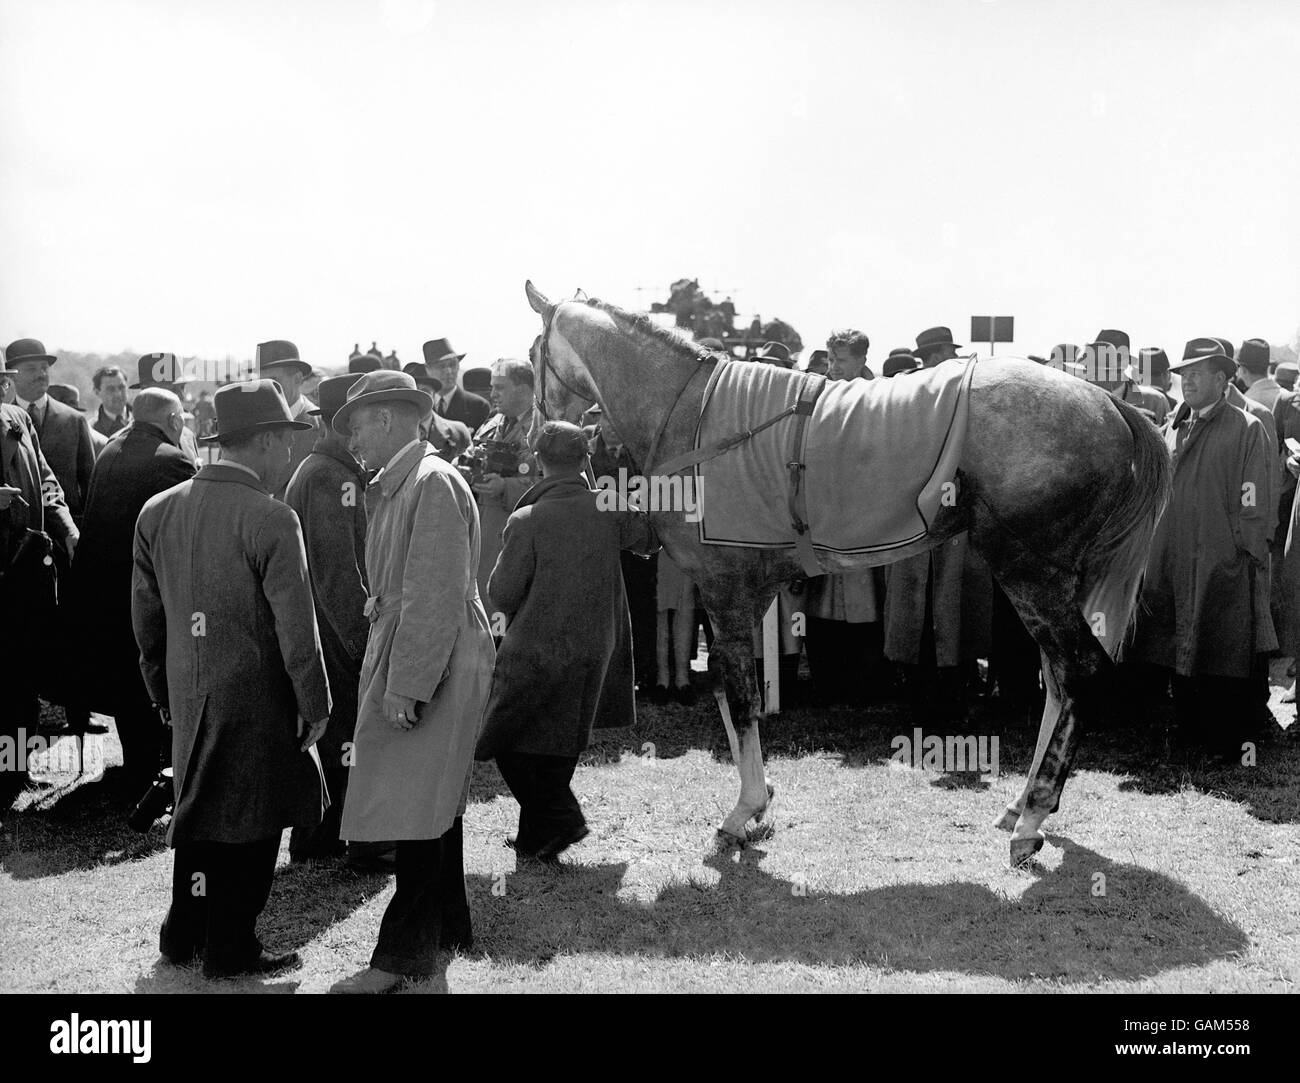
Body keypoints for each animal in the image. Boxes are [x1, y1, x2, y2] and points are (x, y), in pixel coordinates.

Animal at [522, 278, 1175, 863]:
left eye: (531, 355)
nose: (536, 434)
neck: (698, 417)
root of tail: (1108, 402)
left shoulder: (724, 587)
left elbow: (739, 696)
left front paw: (740, 815)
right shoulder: (747, 592)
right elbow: (736, 696)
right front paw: (759, 802)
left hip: (1029, 573)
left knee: (1080, 670)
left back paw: (1033, 817)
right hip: (1052, 580)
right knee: (1058, 680)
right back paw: (1019, 807)